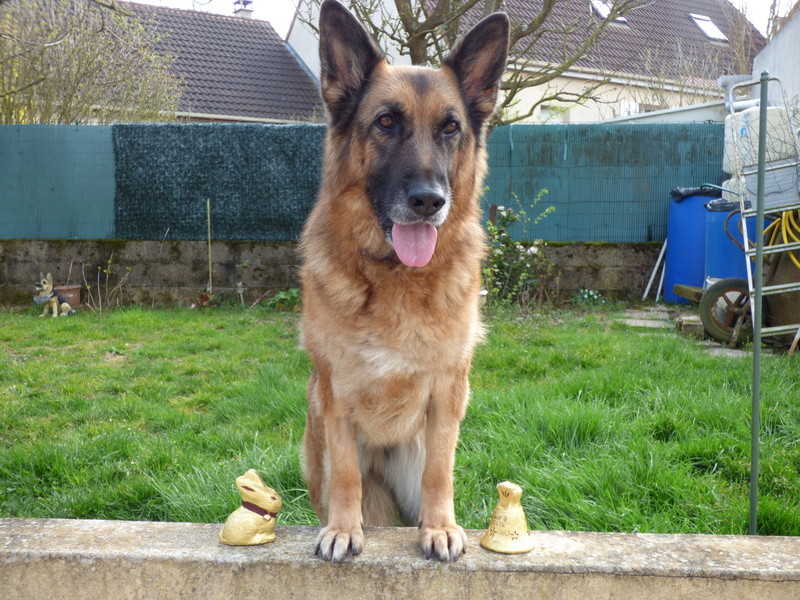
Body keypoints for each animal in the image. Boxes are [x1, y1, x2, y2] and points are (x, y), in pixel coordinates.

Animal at [296, 0, 510, 564]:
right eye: (386, 122)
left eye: (450, 128)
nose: (429, 201)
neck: (395, 278)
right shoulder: (336, 393)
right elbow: (346, 473)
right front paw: (343, 529)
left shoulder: (447, 395)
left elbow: (440, 473)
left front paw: (439, 528)